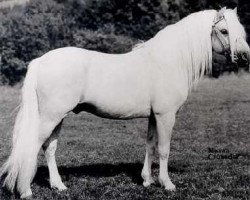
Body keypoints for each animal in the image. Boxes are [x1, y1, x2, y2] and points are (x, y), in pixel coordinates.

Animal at [0, 7, 250, 198]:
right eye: (224, 31)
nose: (245, 56)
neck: (168, 61)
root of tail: (41, 61)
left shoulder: (153, 116)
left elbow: (150, 145)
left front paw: (147, 180)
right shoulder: (166, 115)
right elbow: (164, 149)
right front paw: (167, 184)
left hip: (57, 117)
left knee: (49, 148)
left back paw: (58, 186)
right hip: (50, 116)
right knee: (32, 146)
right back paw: (25, 191)